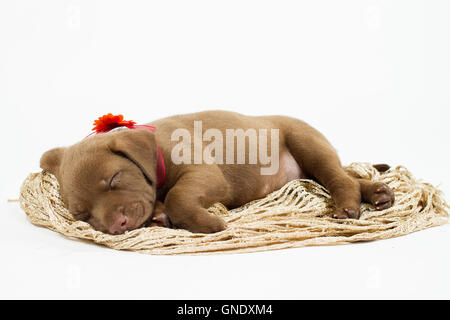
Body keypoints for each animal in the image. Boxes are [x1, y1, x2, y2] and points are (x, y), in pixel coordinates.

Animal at [41, 111, 394, 234]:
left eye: (115, 180)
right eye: (83, 214)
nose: (117, 226)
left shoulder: (205, 175)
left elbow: (178, 196)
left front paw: (206, 224)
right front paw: (159, 216)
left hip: (307, 143)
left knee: (339, 178)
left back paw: (348, 206)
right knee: (348, 176)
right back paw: (377, 193)